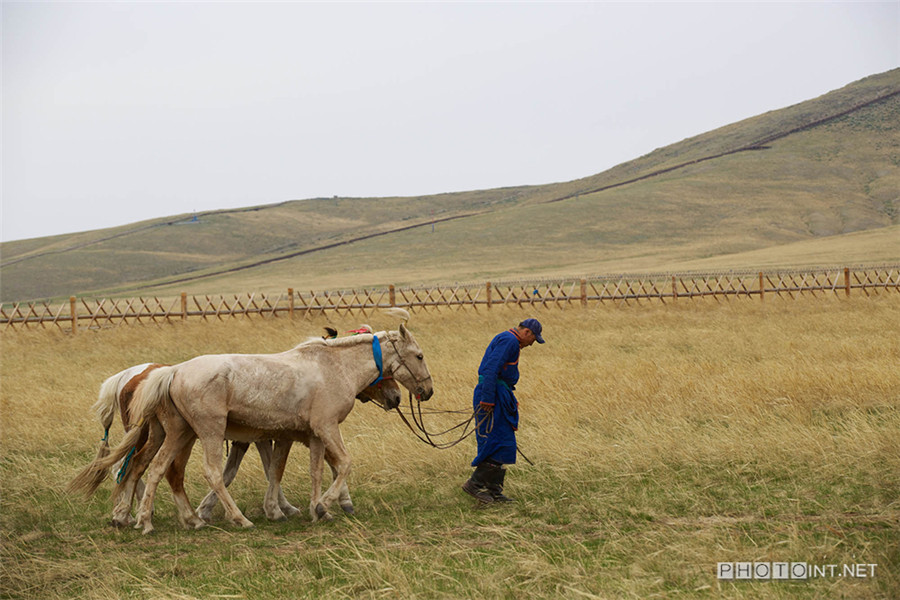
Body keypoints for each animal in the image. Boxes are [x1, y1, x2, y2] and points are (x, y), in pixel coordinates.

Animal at [74, 324, 432, 536]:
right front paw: (321, 506)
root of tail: (173, 371)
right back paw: (235, 519)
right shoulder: (326, 428)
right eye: (418, 355)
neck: (334, 368)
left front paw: (317, 510)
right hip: (208, 432)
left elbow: (312, 471)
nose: (424, 392)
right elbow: (342, 464)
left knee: (156, 469)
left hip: (178, 433)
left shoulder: (311, 435)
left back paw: (152, 521)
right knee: (210, 472)